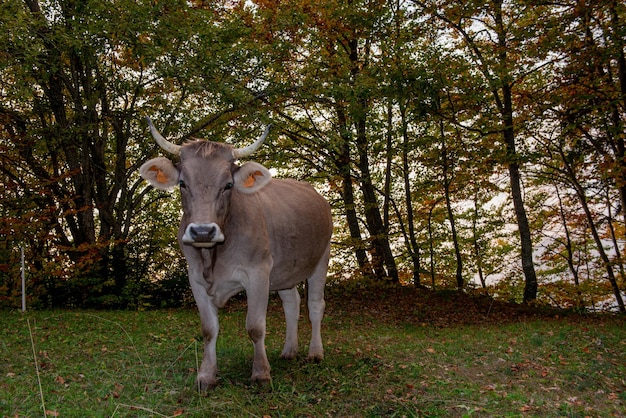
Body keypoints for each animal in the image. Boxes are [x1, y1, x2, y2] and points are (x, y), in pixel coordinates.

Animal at [137, 116, 332, 388]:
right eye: (183, 183)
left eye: (228, 185)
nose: (202, 231)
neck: (213, 257)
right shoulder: (195, 278)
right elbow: (208, 329)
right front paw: (206, 376)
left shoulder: (258, 273)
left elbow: (255, 327)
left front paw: (261, 373)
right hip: (285, 270)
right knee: (292, 303)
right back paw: (289, 351)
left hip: (321, 259)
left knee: (315, 305)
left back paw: (315, 353)